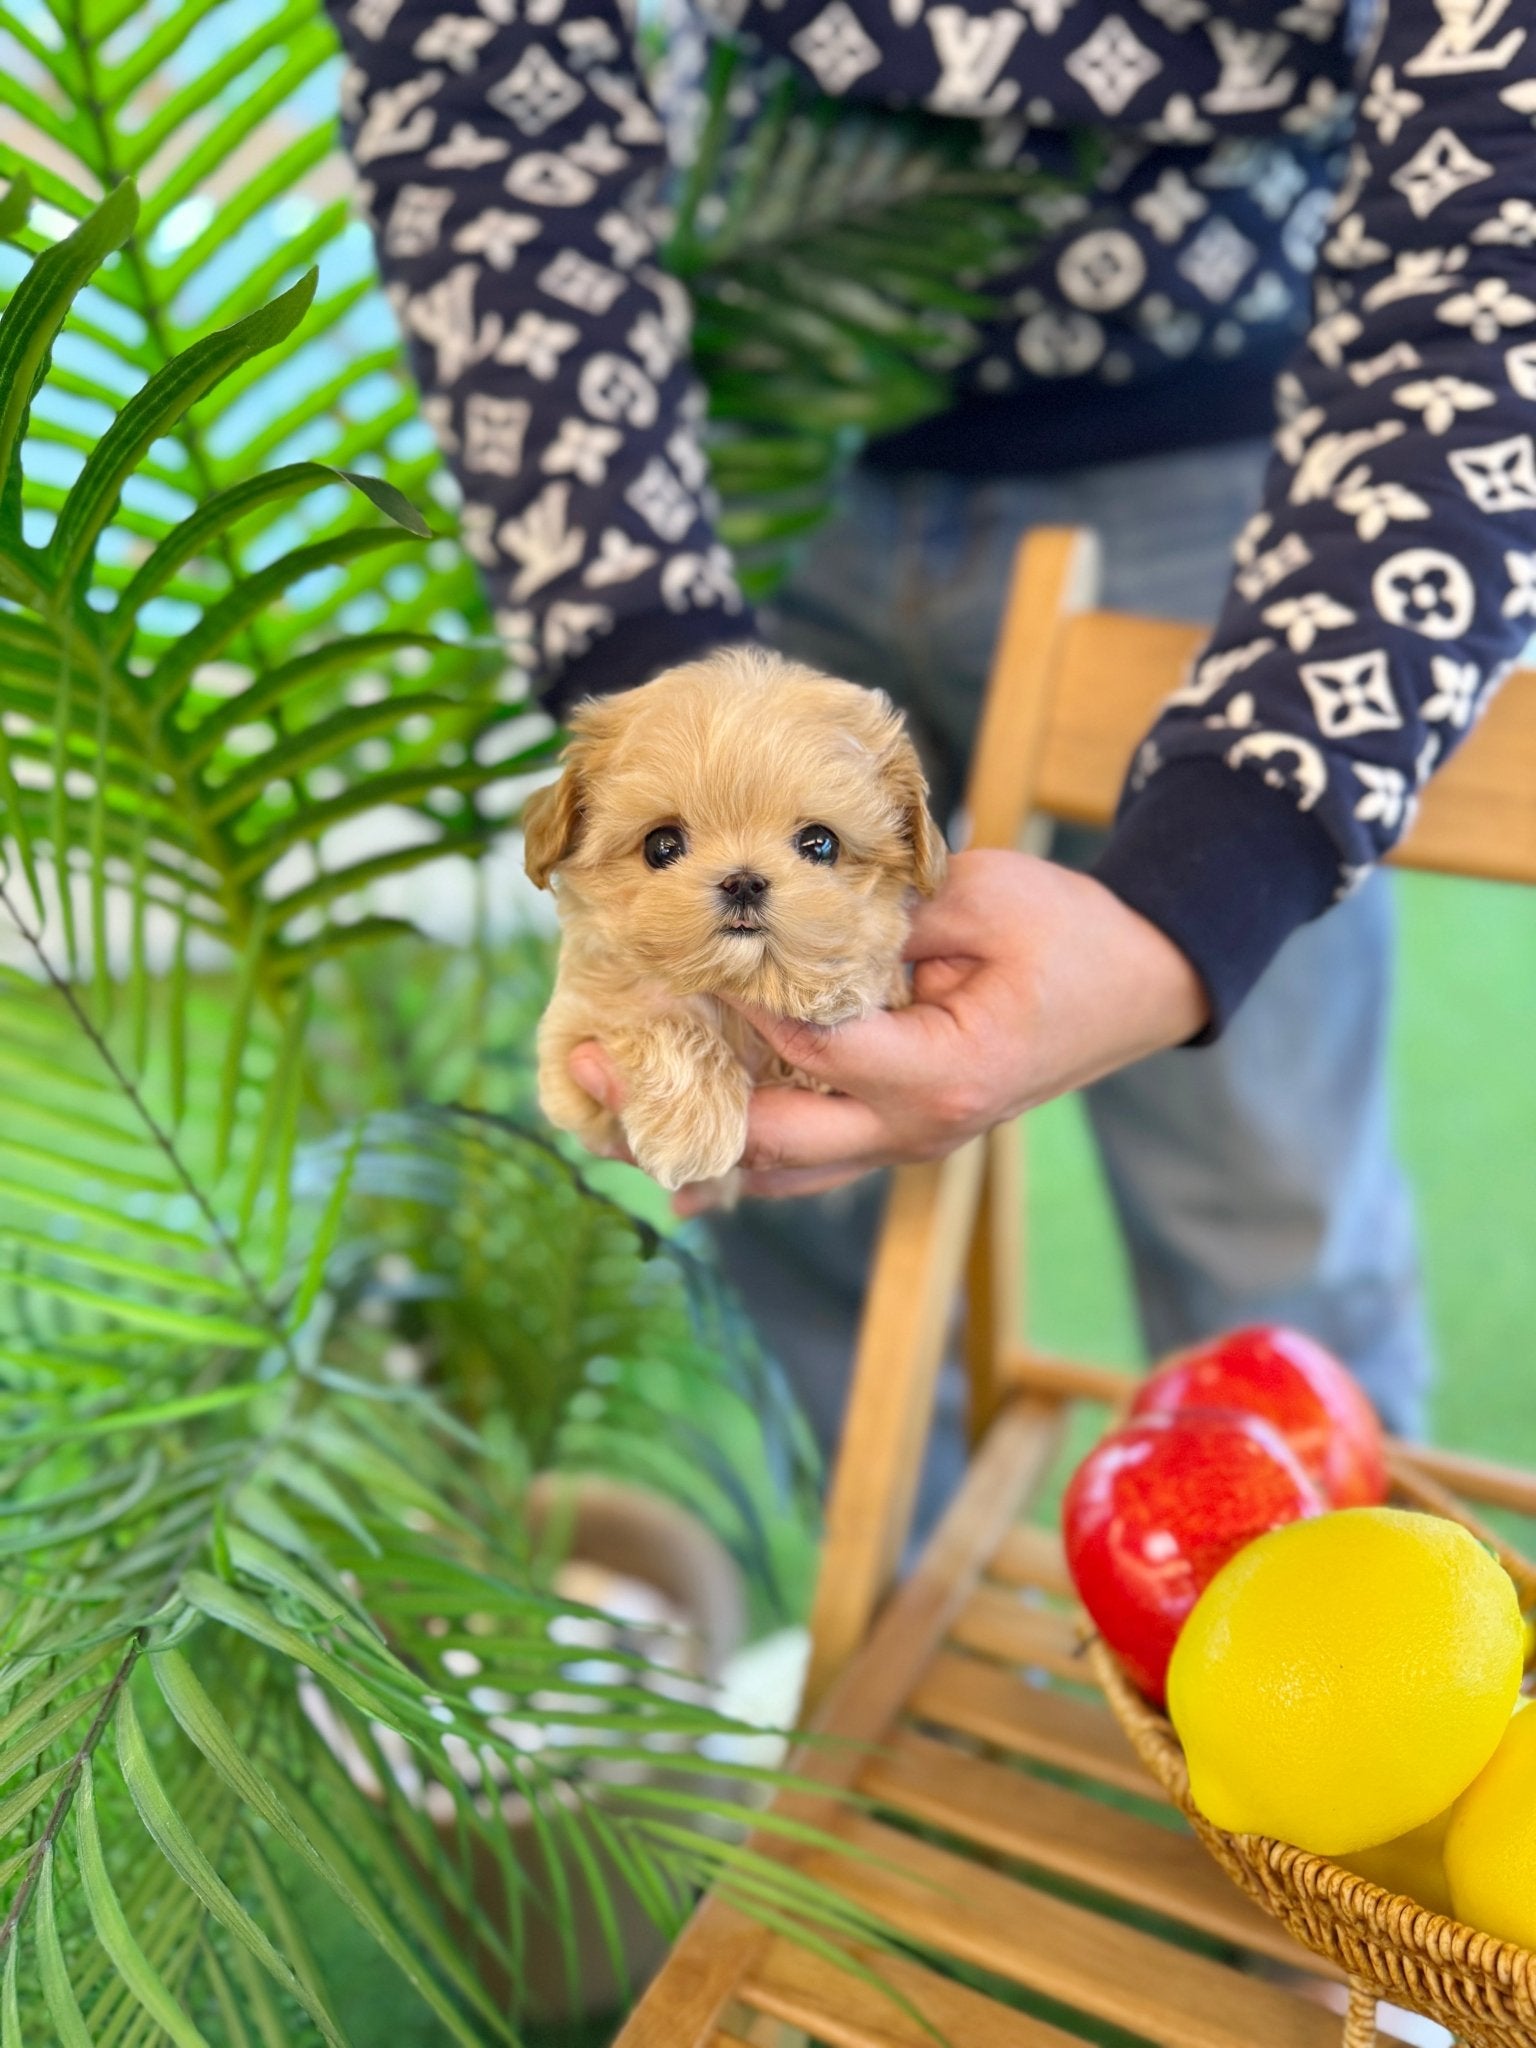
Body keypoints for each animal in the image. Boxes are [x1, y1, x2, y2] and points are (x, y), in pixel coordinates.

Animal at [528, 647, 950, 1196]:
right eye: (661, 846)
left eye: (820, 844)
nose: (744, 882)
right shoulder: (571, 1049)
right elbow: (657, 1016)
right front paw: (692, 1127)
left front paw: (822, 987)